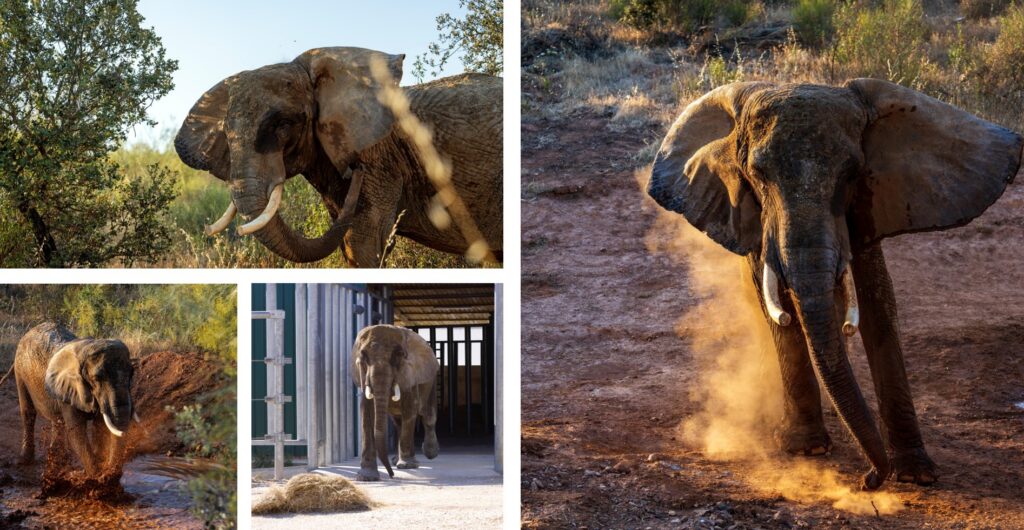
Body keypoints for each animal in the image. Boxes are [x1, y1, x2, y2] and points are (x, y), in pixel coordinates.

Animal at [14, 322, 136, 476]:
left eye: (132, 374)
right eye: (97, 378)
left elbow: (100, 427)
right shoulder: (69, 388)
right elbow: (77, 433)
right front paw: (96, 477)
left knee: (57, 420)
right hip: (19, 370)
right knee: (28, 412)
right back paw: (24, 461)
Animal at [350, 324, 439, 481]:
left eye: (398, 355)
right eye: (364, 357)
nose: (391, 475)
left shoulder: (410, 374)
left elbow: (410, 408)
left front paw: (406, 466)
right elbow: (366, 412)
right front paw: (366, 477)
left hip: (431, 380)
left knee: (427, 414)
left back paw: (429, 454)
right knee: (398, 422)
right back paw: (399, 460)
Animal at [647, 79, 1023, 490]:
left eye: (851, 173)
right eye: (758, 175)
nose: (869, 479)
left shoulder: (869, 201)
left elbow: (878, 306)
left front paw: (916, 473)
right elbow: (779, 306)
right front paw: (806, 449)